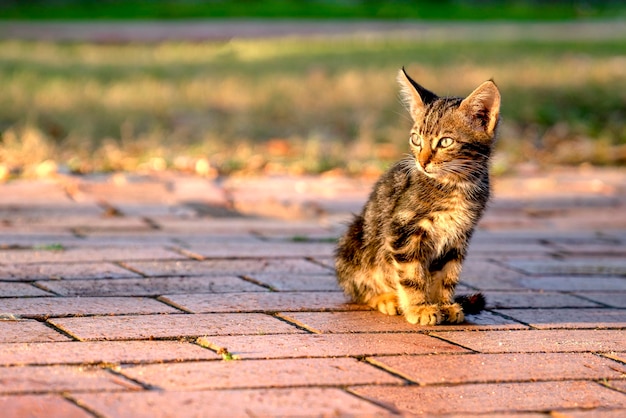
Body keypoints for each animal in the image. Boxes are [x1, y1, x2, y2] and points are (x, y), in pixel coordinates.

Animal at [334, 68, 500, 326]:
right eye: (416, 139)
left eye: (446, 141)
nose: (422, 162)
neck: (455, 185)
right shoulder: (403, 229)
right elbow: (411, 274)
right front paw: (419, 308)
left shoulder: (459, 235)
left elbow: (447, 274)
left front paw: (444, 304)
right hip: (354, 240)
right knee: (358, 286)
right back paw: (387, 298)